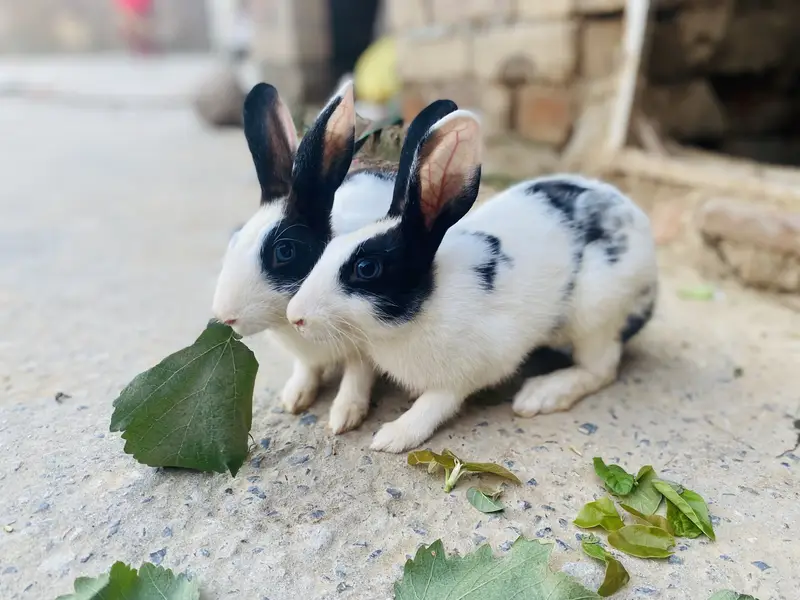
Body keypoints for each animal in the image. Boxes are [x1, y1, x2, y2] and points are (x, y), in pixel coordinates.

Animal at [212, 78, 460, 434]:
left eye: (284, 251)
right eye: (234, 239)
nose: (225, 316)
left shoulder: (363, 347)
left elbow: (357, 375)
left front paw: (345, 415)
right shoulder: (307, 356)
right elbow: (307, 368)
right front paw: (295, 398)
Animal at [285, 108, 658, 453]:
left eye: (366, 268)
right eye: (329, 247)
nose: (295, 316)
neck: (419, 310)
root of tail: (638, 223)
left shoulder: (467, 371)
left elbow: (435, 404)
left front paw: (392, 437)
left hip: (595, 317)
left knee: (601, 369)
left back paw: (539, 395)